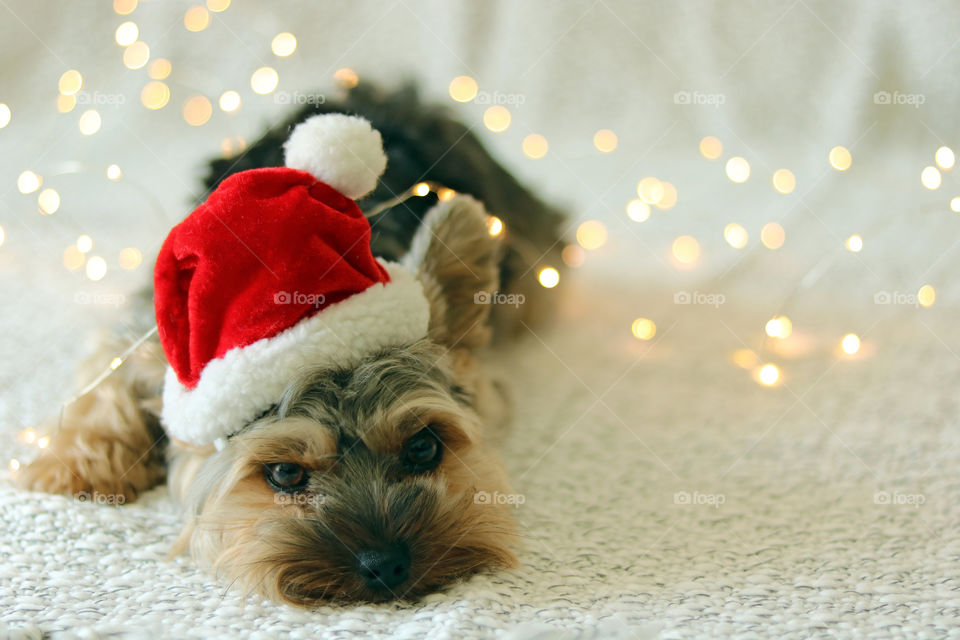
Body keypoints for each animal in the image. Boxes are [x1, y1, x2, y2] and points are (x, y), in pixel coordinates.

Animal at [15, 82, 568, 604]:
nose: (385, 564)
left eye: (423, 446)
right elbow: (104, 387)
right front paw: (70, 467)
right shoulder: (146, 332)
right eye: (284, 473)